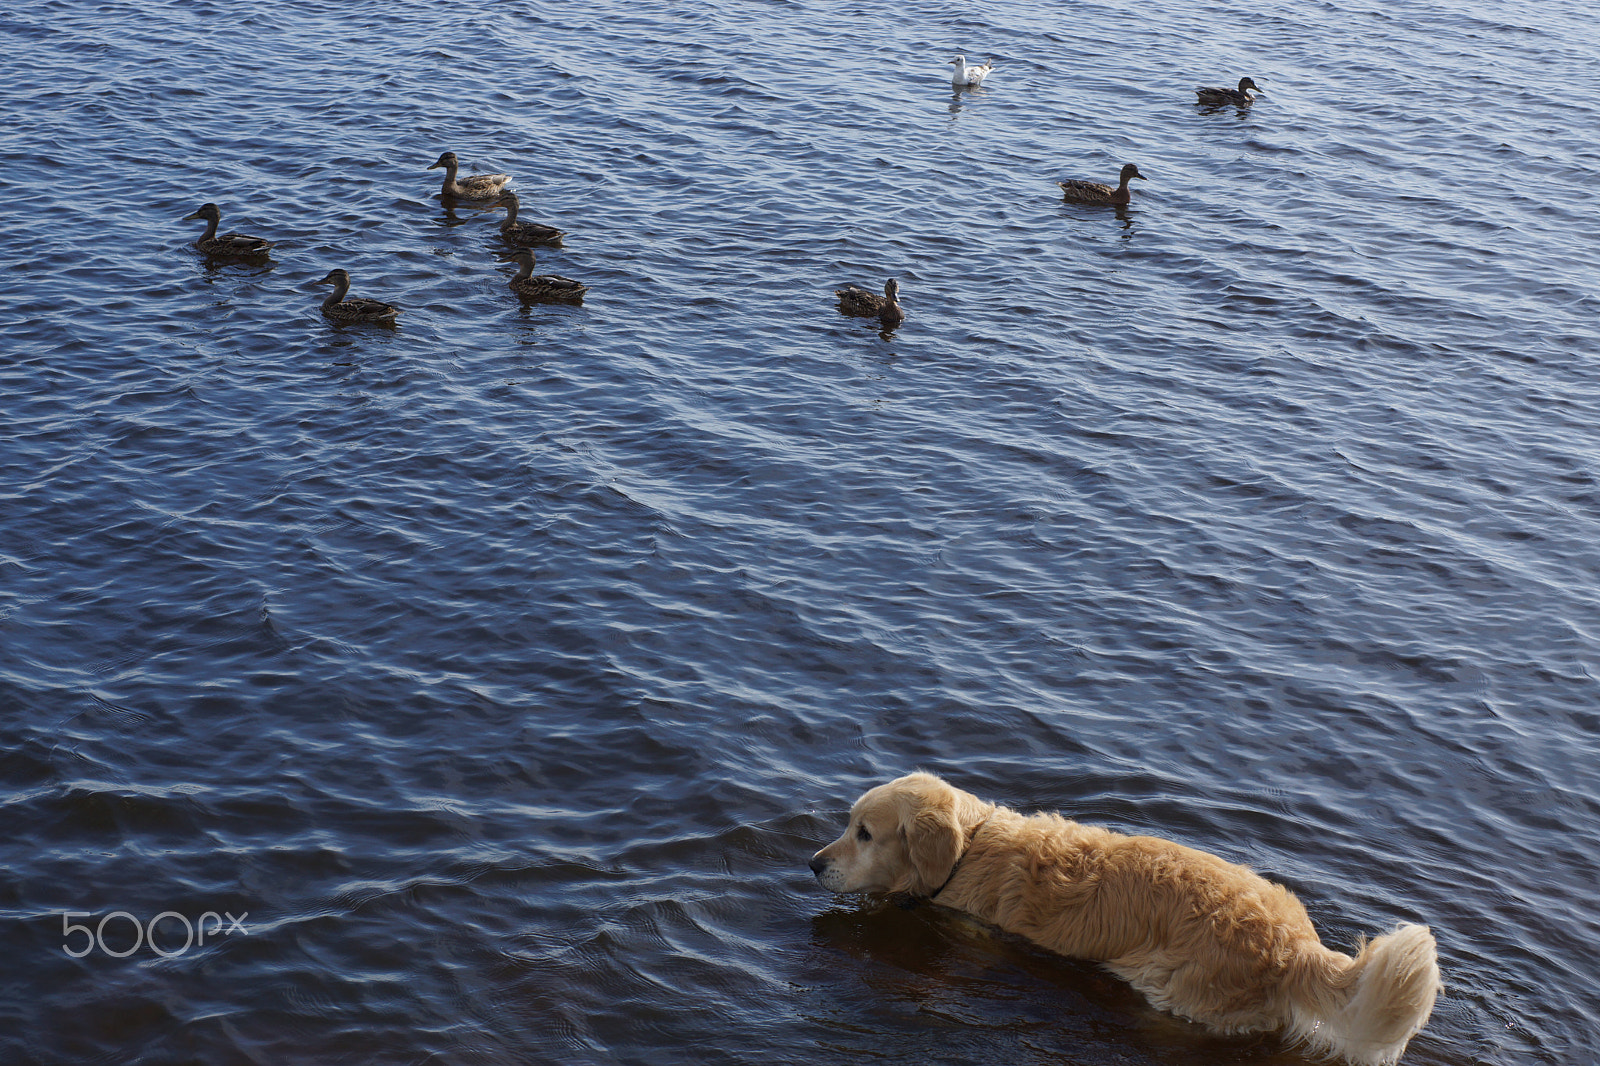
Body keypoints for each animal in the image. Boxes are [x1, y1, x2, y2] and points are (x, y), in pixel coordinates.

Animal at [806, 771, 1446, 1062]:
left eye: (864, 833)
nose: (812, 864)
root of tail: (1293, 943)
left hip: (1170, 987)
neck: (968, 850)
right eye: (848, 824)